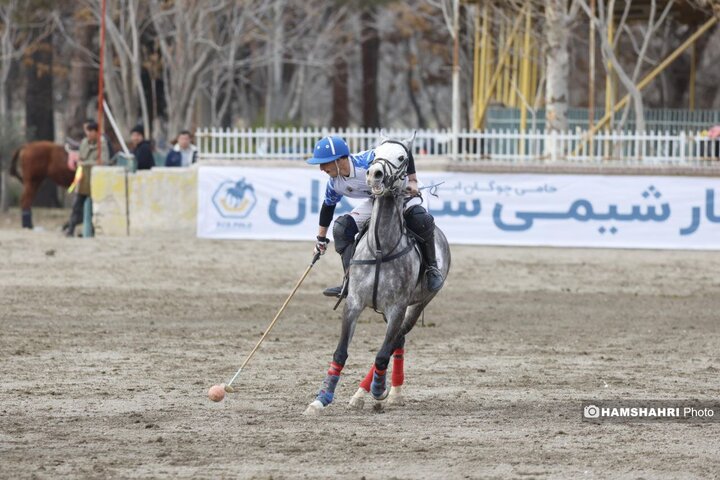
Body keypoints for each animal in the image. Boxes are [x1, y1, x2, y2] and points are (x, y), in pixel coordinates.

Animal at [304, 133, 450, 414]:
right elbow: (340, 352)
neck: (382, 246)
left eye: (403, 157)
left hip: (417, 304)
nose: (375, 174)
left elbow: (382, 354)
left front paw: (379, 389)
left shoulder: (397, 307)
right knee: (343, 224)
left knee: (396, 340)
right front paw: (321, 398)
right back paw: (371, 394)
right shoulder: (354, 303)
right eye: (375, 155)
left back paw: (379, 391)